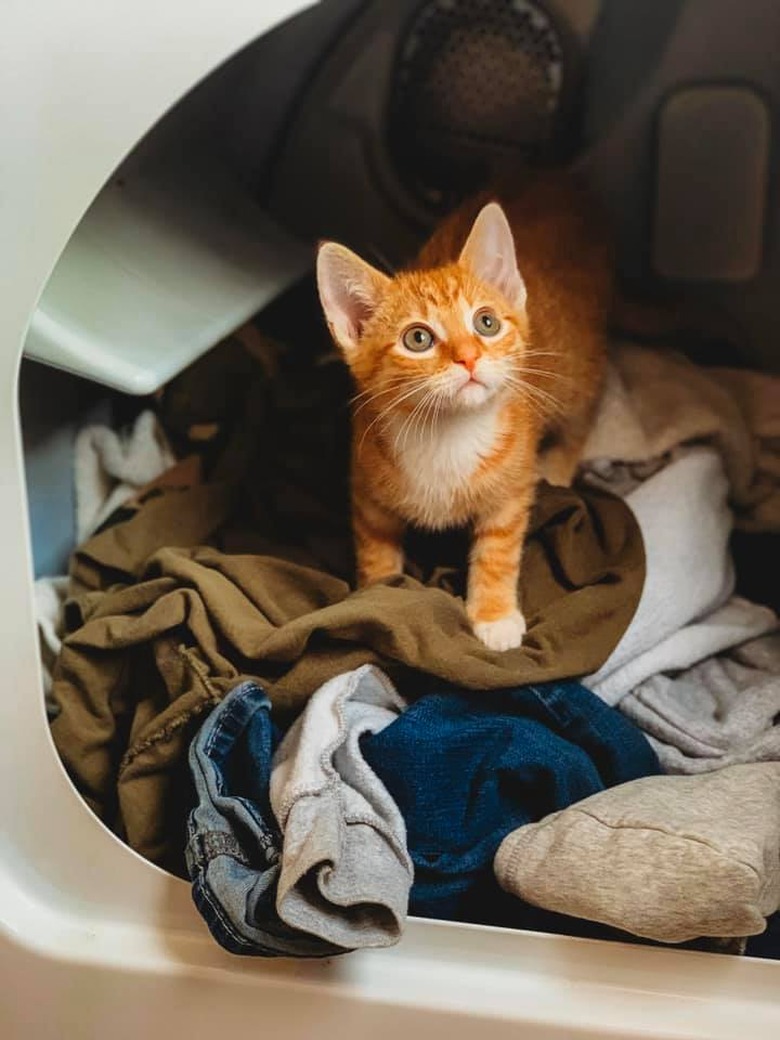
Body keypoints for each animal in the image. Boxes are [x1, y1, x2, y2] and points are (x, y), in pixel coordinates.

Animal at [316, 175, 611, 653]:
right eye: (417, 338)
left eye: (486, 323)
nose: (469, 357)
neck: (447, 433)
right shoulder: (366, 488)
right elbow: (375, 546)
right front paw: (379, 593)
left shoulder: (511, 491)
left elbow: (498, 550)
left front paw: (494, 616)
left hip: (576, 371)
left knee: (584, 414)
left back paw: (560, 467)